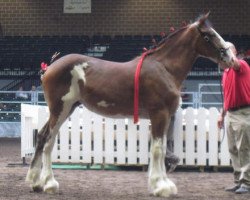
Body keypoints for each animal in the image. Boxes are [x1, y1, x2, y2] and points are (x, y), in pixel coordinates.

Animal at [26, 13, 237, 198]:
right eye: (209, 35)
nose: (230, 59)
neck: (164, 68)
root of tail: (50, 66)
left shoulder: (164, 117)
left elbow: (160, 147)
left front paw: (163, 184)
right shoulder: (159, 114)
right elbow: (158, 149)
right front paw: (161, 187)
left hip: (66, 109)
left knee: (43, 136)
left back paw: (35, 182)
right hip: (60, 109)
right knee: (48, 139)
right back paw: (50, 184)